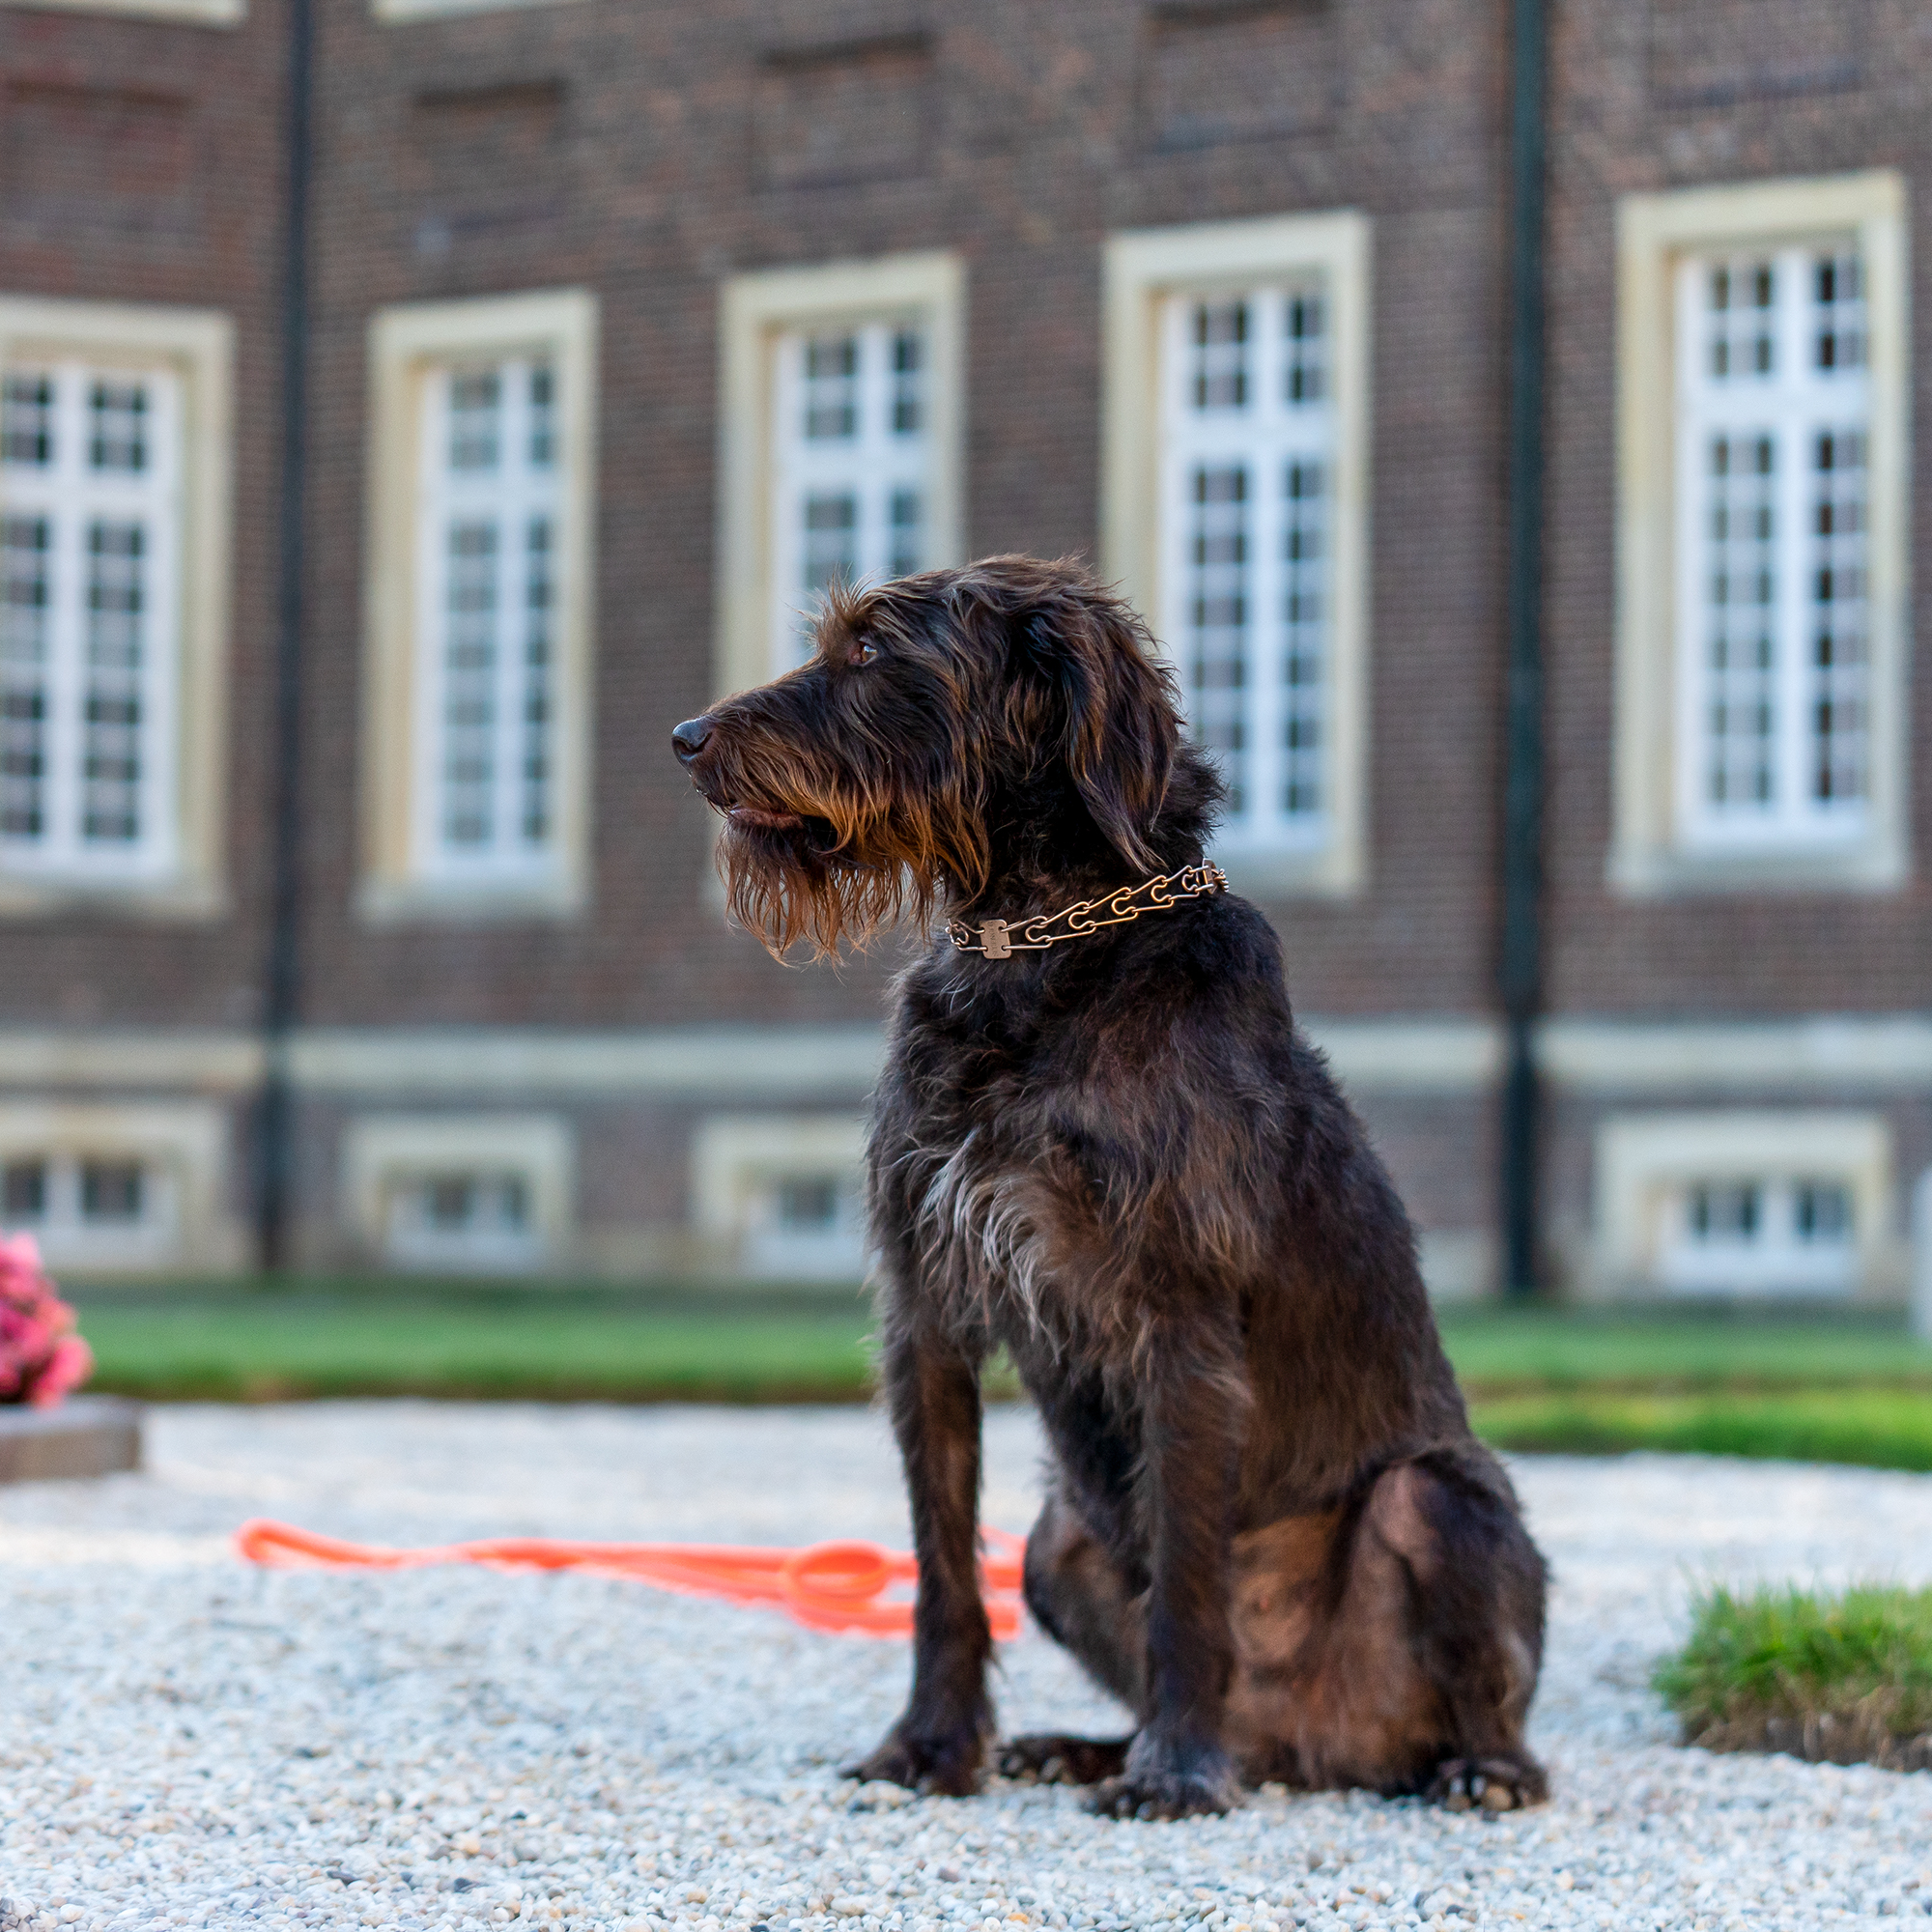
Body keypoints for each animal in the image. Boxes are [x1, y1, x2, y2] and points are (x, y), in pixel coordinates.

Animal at [672, 556, 1546, 1808]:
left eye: (873, 653)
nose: (684, 737)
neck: (1036, 947)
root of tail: (1307, 1749)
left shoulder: (1177, 1320)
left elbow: (1184, 1571)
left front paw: (1174, 1769)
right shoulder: (924, 1307)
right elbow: (942, 1565)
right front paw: (931, 1745)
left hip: (1437, 1498)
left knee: (1467, 1673)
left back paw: (1468, 1766)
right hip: (1058, 1538)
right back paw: (1082, 1745)